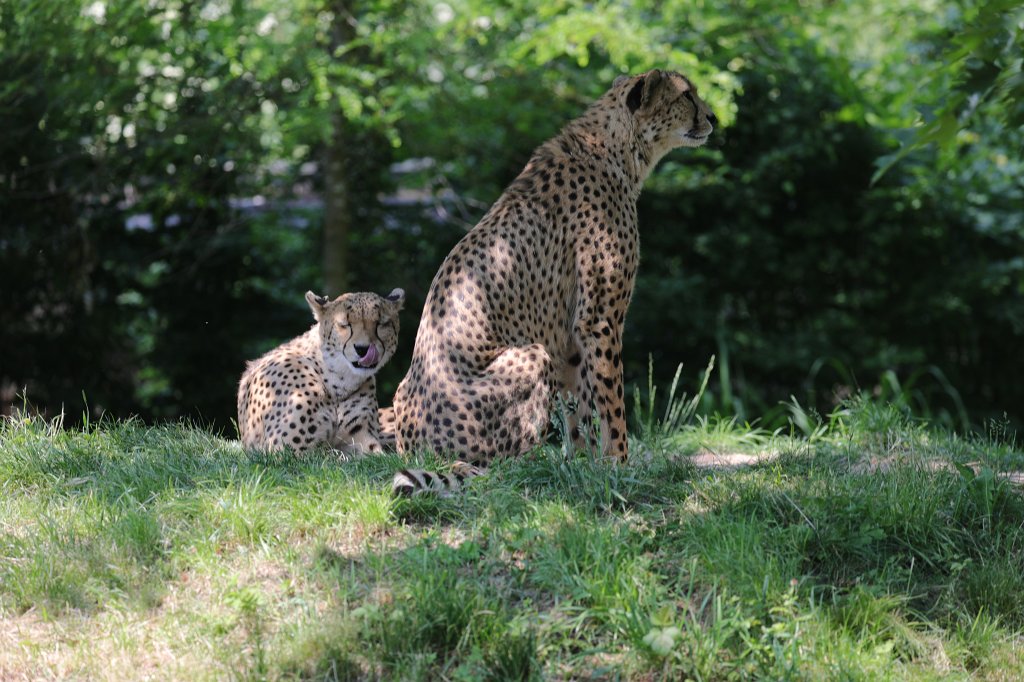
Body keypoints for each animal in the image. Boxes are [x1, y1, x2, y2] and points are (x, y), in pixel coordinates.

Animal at [237, 288, 404, 455]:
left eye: (381, 323)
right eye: (344, 324)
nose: (363, 349)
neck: (338, 380)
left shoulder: (363, 441)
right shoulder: (288, 448)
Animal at [389, 69, 716, 495]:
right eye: (687, 96)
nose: (712, 118)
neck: (617, 149)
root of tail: (416, 448)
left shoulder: (571, 335)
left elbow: (580, 412)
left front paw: (581, 466)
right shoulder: (599, 319)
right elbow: (611, 403)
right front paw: (620, 465)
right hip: (532, 355)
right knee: (502, 466)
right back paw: (520, 470)